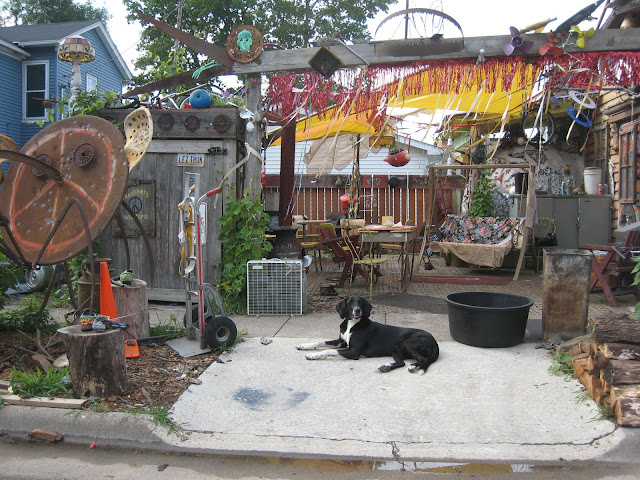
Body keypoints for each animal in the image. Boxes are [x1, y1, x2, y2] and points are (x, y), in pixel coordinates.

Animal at [297, 296, 439, 374]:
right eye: (350, 302)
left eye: (360, 302)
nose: (357, 310)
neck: (353, 324)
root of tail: (434, 341)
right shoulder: (341, 341)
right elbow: (321, 342)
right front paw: (304, 346)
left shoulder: (353, 351)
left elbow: (328, 351)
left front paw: (313, 355)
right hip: (396, 350)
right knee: (401, 363)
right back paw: (386, 367)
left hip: (407, 343)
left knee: (422, 360)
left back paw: (413, 366)